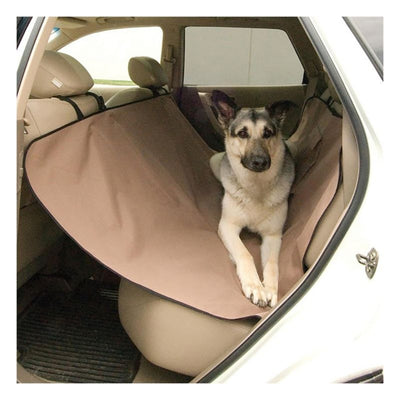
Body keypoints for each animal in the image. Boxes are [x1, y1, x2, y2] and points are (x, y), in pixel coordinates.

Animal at [210, 90, 295, 308]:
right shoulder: (228, 226)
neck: (256, 188)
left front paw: (270, 289)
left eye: (268, 133)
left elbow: (272, 264)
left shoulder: (273, 236)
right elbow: (245, 254)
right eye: (242, 133)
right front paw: (255, 286)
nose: (260, 162)